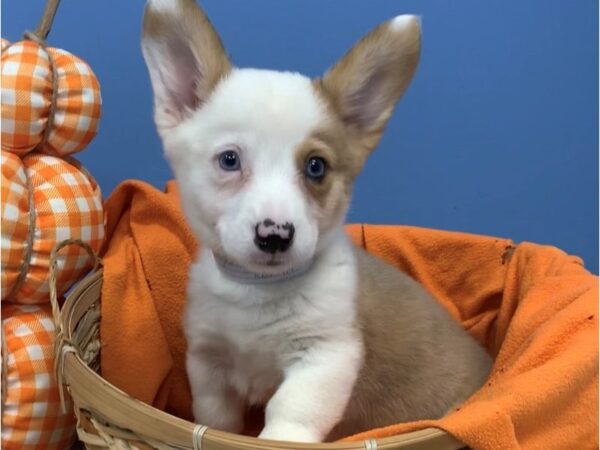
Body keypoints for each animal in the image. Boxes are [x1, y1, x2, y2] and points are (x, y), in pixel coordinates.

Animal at [142, 0, 492, 442]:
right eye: (229, 159)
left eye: (316, 166)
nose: (275, 236)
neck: (256, 291)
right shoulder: (208, 362)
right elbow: (214, 417)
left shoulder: (324, 357)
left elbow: (289, 411)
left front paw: (277, 438)